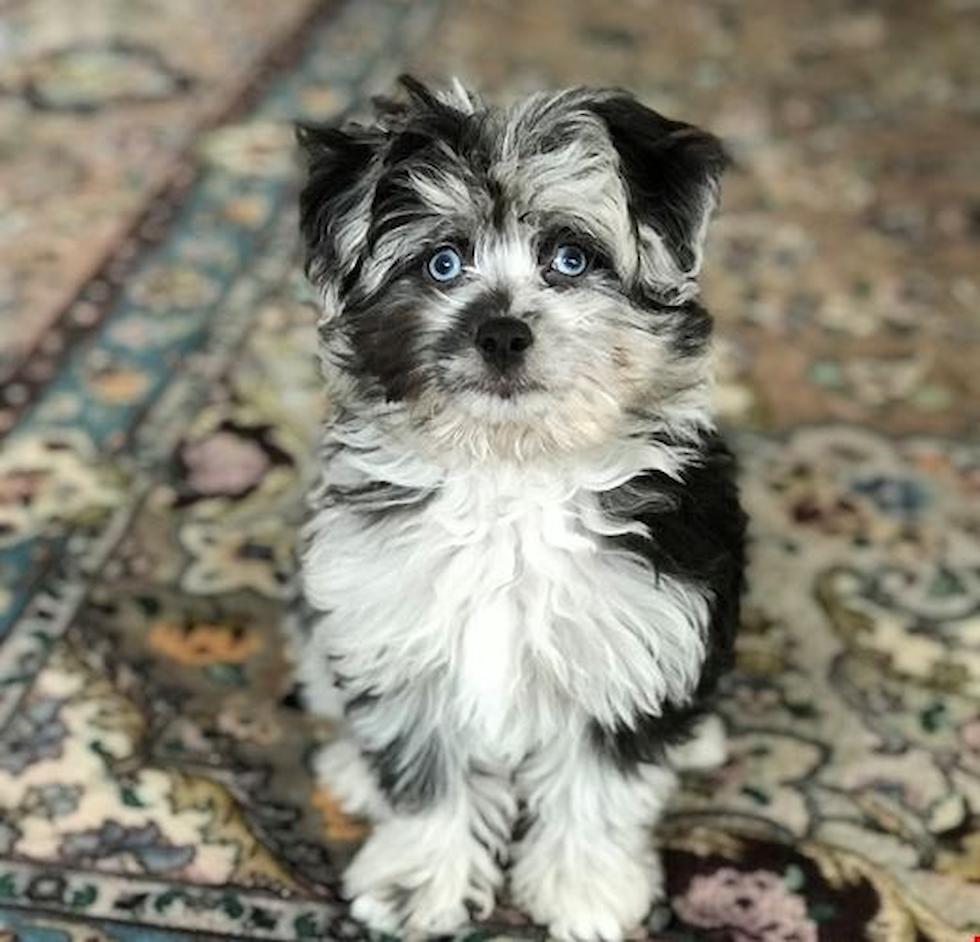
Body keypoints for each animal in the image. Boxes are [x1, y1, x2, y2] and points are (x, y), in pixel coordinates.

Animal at [294, 77, 748, 940]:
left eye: (571, 259)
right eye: (443, 263)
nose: (501, 332)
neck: (509, 474)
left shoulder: (630, 645)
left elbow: (596, 789)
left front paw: (585, 892)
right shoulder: (397, 628)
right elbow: (425, 770)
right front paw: (417, 886)